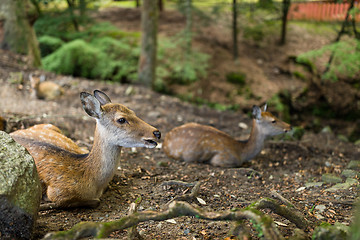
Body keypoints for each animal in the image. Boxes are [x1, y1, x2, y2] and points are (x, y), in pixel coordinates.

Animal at [9, 90, 160, 210]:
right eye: (121, 119)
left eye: (133, 112)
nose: (157, 132)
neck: (93, 182)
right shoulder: (57, 191)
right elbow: (94, 202)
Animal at [164, 104, 292, 168]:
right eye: (273, 121)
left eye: (274, 115)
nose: (290, 126)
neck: (242, 152)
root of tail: (165, 139)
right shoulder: (221, 159)